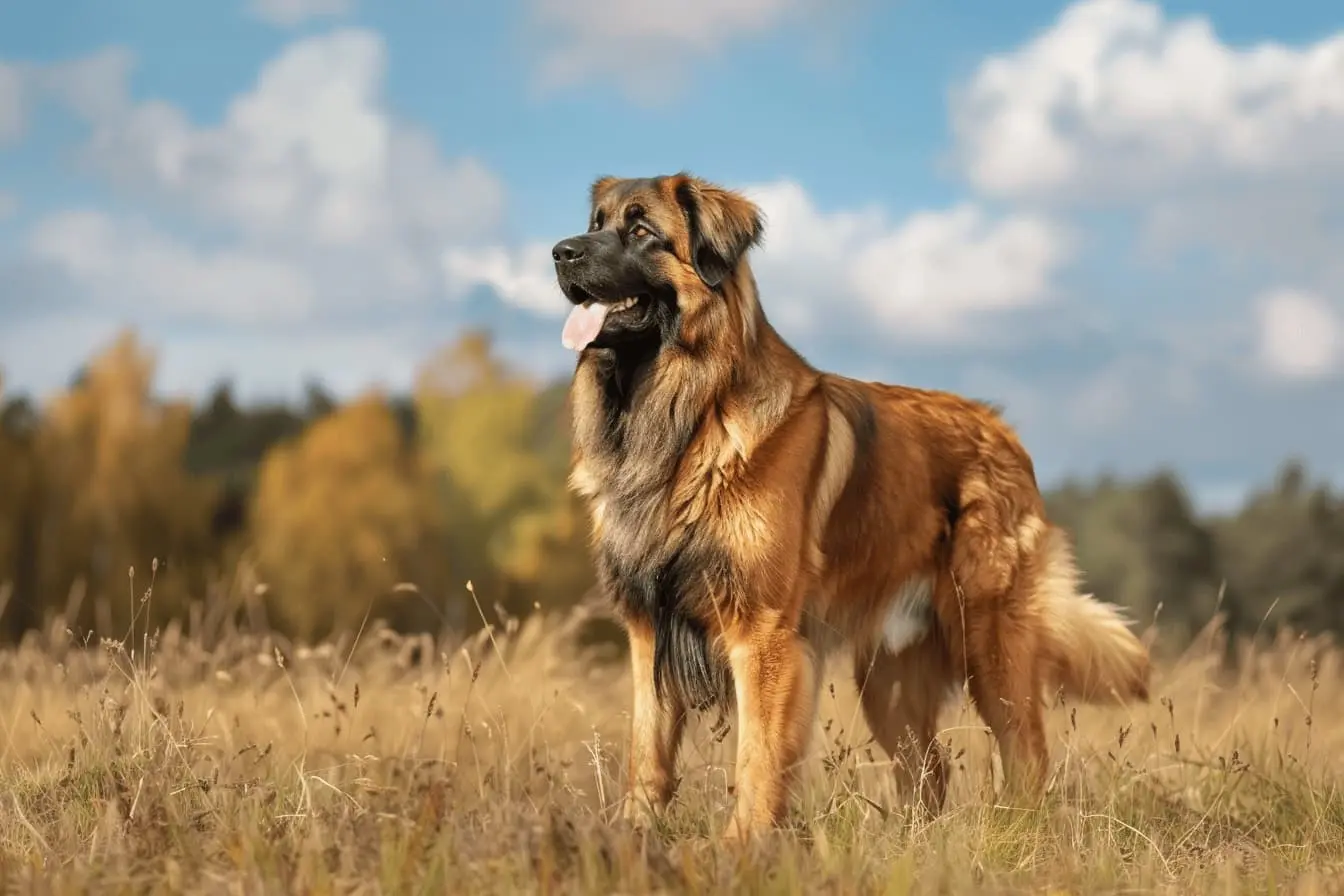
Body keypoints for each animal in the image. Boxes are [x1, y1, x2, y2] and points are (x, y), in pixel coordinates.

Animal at [551, 173, 1150, 843]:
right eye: (596, 222)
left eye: (641, 230)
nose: (560, 253)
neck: (684, 420)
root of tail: (1004, 430)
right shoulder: (648, 628)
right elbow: (647, 753)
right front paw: (631, 836)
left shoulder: (763, 636)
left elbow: (758, 760)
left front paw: (741, 847)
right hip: (888, 678)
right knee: (929, 770)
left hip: (992, 645)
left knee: (1027, 758)